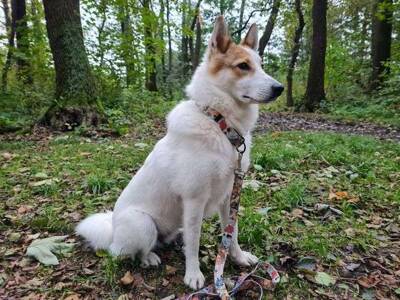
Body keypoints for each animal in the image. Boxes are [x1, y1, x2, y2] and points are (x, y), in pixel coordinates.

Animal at [76, 15, 284, 290]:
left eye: (261, 66)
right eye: (243, 66)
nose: (280, 88)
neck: (219, 124)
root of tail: (112, 231)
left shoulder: (229, 196)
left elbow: (231, 232)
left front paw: (237, 257)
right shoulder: (194, 200)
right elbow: (194, 243)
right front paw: (193, 274)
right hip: (142, 224)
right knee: (131, 252)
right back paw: (149, 257)